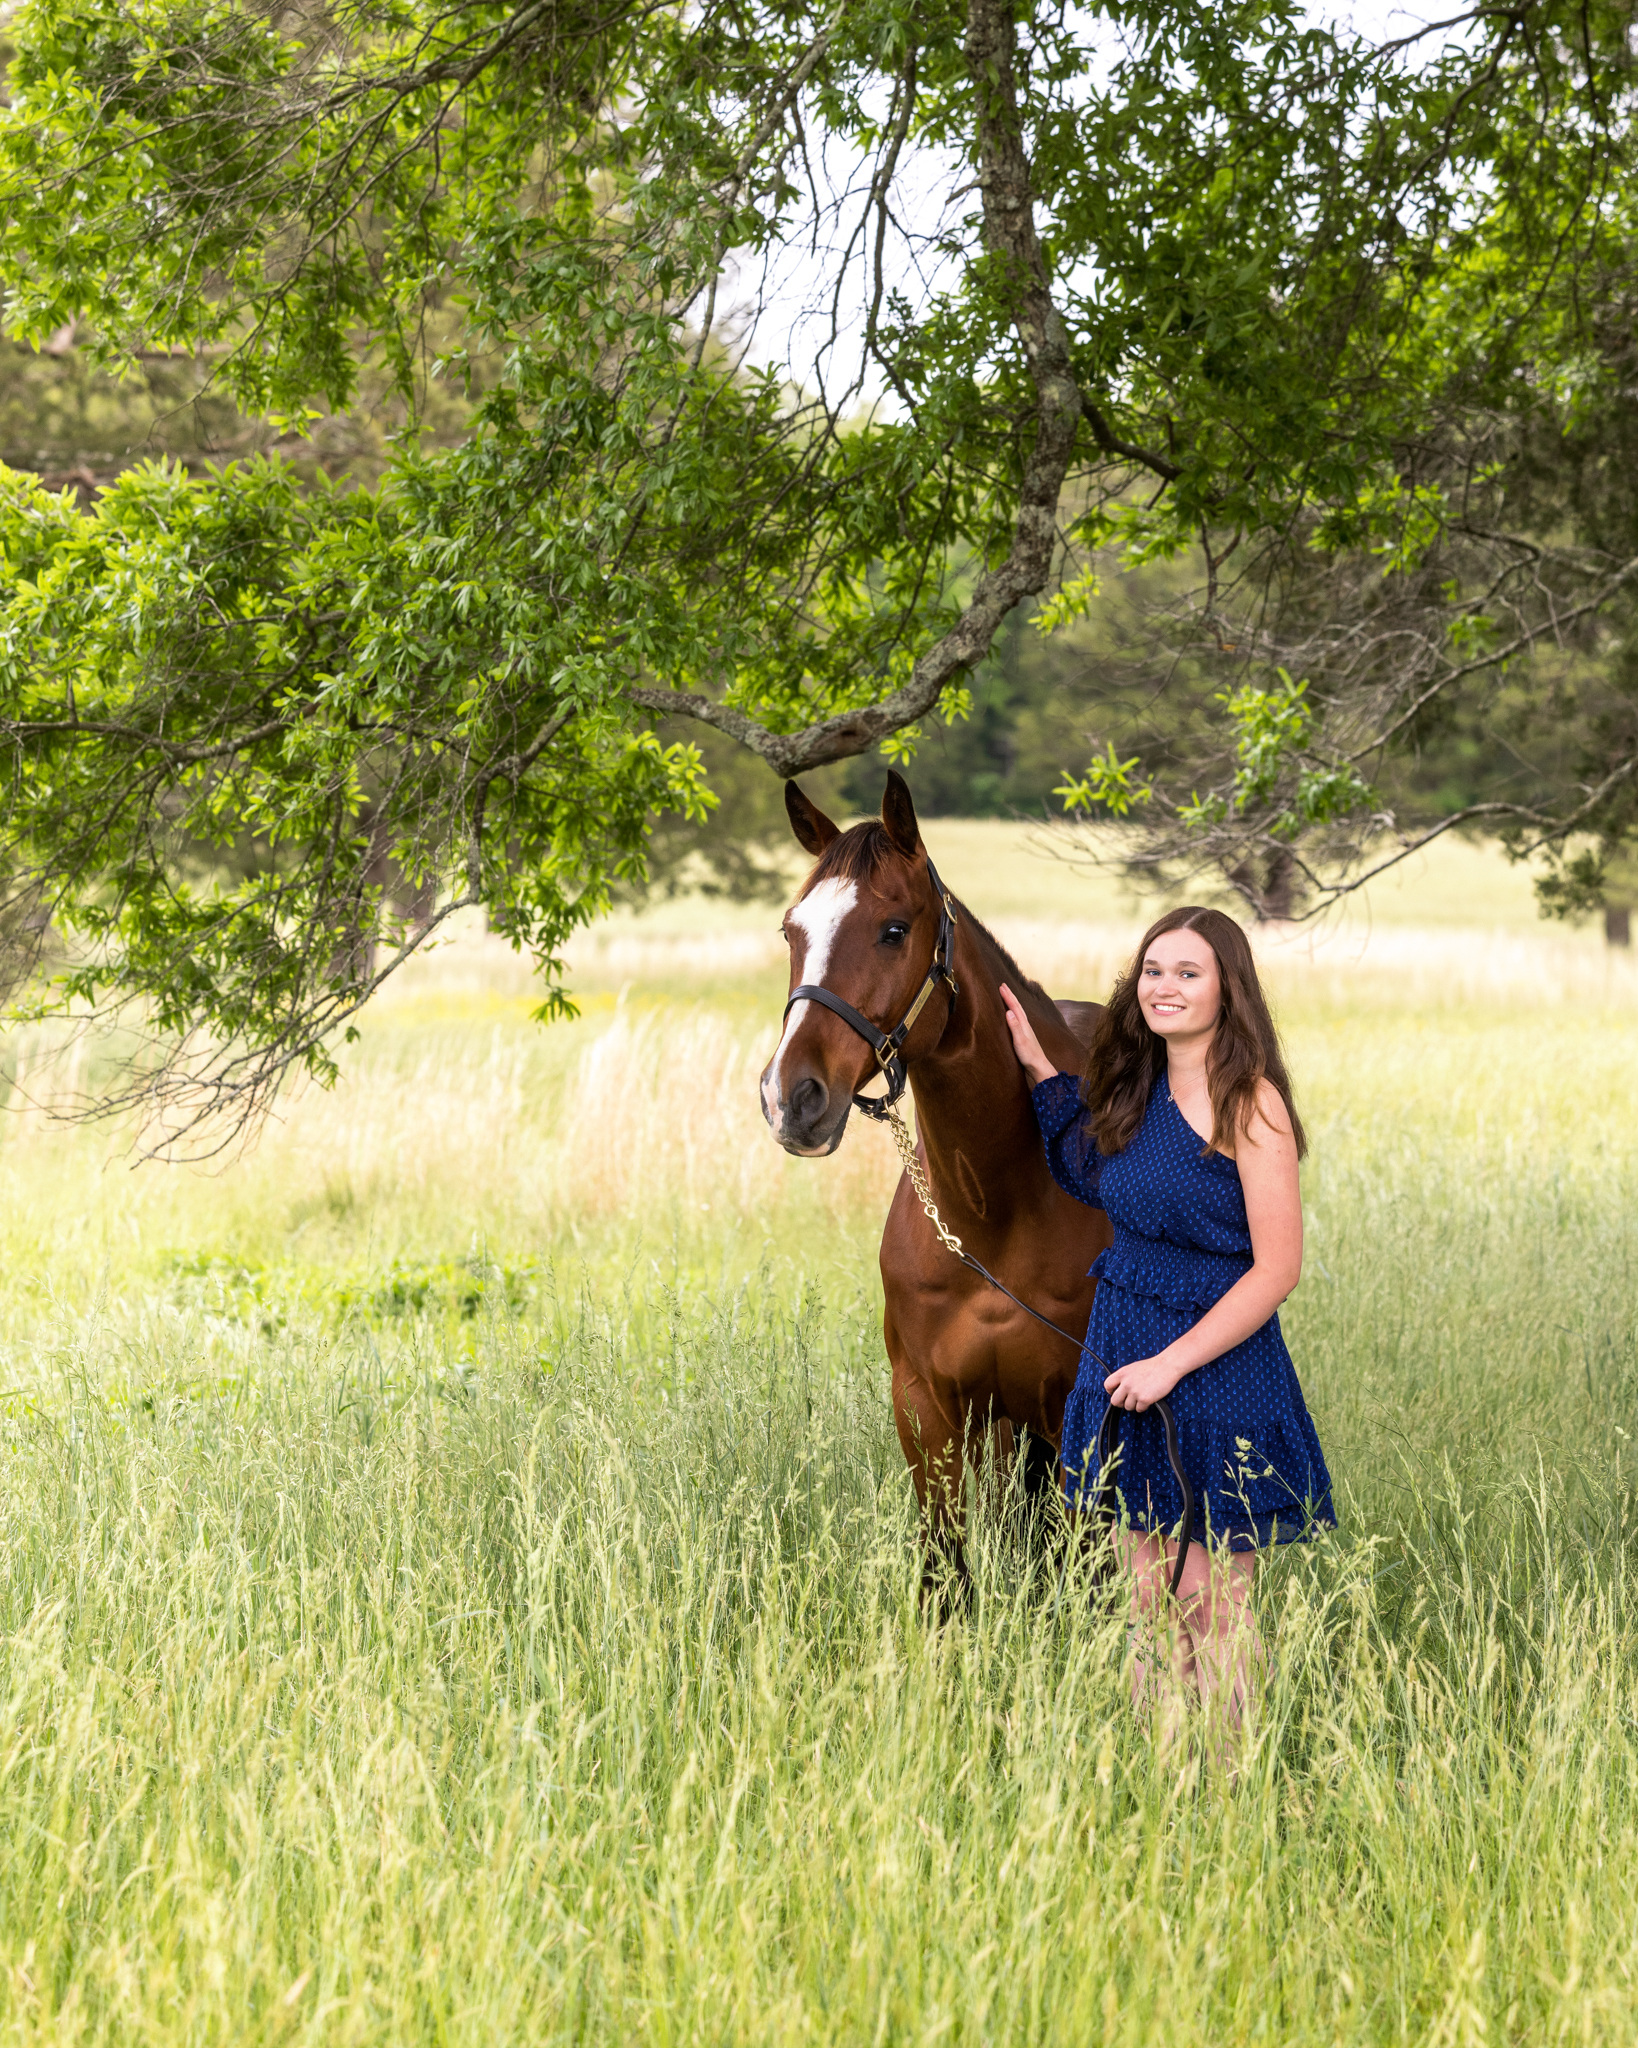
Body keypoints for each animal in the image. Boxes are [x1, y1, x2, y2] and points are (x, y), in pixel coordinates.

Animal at [757, 770, 1113, 1548]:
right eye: (791, 930)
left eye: (894, 930)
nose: (789, 1097)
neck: (992, 1211)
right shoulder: (927, 1413)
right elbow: (947, 1561)